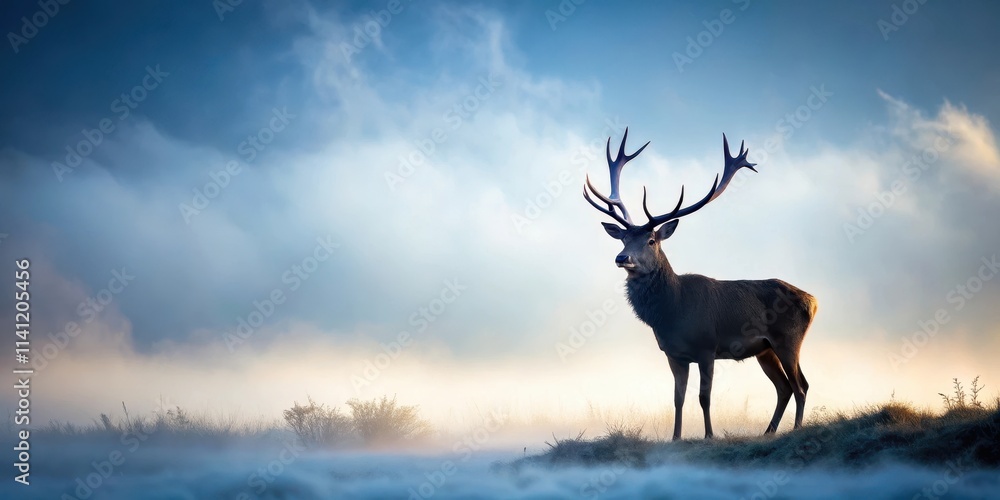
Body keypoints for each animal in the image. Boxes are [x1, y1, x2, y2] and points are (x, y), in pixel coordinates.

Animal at [583, 129, 818, 440]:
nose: (622, 258)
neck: (673, 312)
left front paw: (709, 435)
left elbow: (704, 397)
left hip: (789, 339)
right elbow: (677, 398)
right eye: (623, 238)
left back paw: (796, 429)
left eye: (651, 240)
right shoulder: (674, 354)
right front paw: (675, 437)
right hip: (765, 349)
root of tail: (813, 301)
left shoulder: (708, 347)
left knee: (801, 385)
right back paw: (768, 431)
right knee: (784, 387)